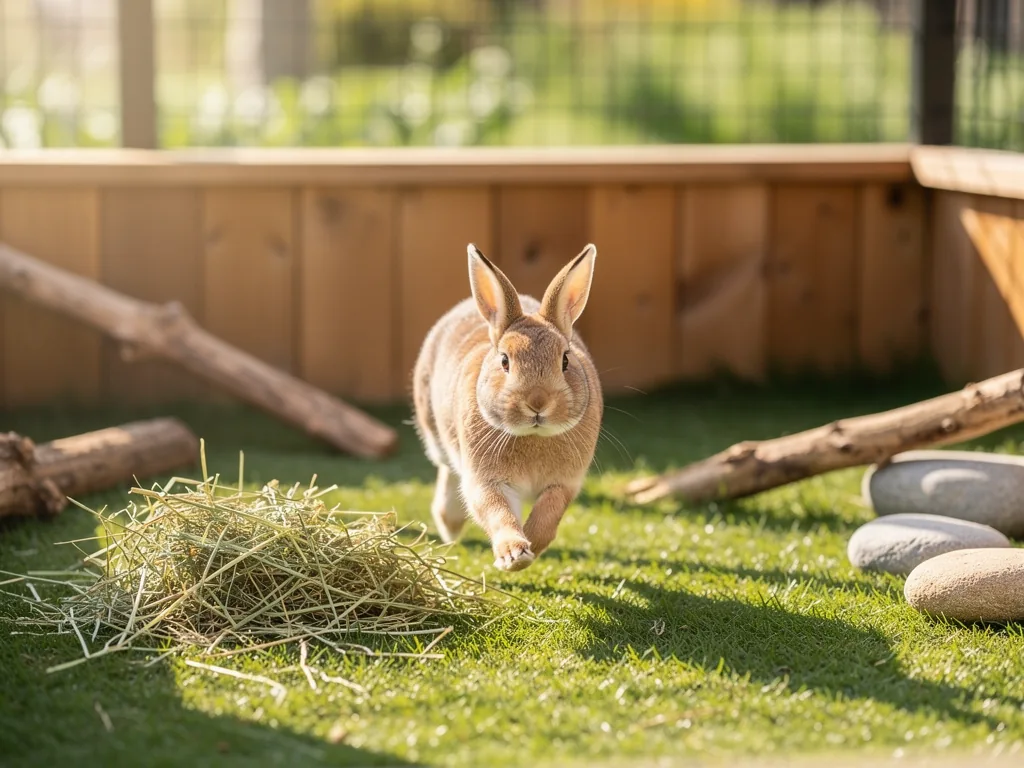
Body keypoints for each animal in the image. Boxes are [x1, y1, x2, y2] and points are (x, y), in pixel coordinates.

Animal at [411, 242, 603, 572]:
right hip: (436, 435)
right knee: (448, 471)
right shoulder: (486, 480)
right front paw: (514, 554)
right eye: (504, 361)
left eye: (565, 360)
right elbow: (496, 511)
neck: (534, 436)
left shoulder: (564, 483)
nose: (537, 402)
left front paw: (530, 546)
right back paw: (450, 525)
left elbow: (548, 515)